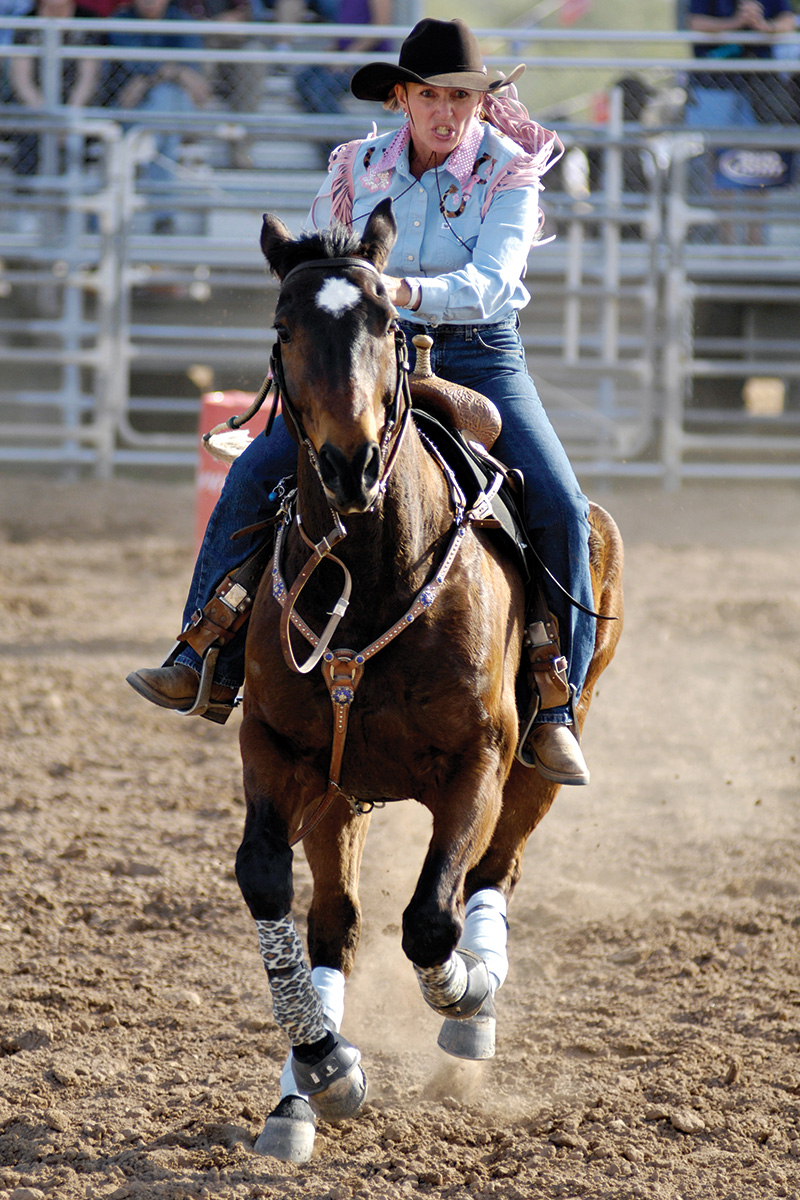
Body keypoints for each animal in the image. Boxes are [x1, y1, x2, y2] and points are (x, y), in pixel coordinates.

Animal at [233, 196, 623, 1163]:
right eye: (284, 325)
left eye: (387, 322)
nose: (350, 463)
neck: (373, 575)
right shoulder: (280, 750)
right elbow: (267, 882)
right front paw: (326, 1065)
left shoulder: (478, 762)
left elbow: (431, 918)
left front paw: (466, 992)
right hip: (340, 791)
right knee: (336, 923)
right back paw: (301, 1097)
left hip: (541, 758)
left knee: (494, 872)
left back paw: (472, 1013)